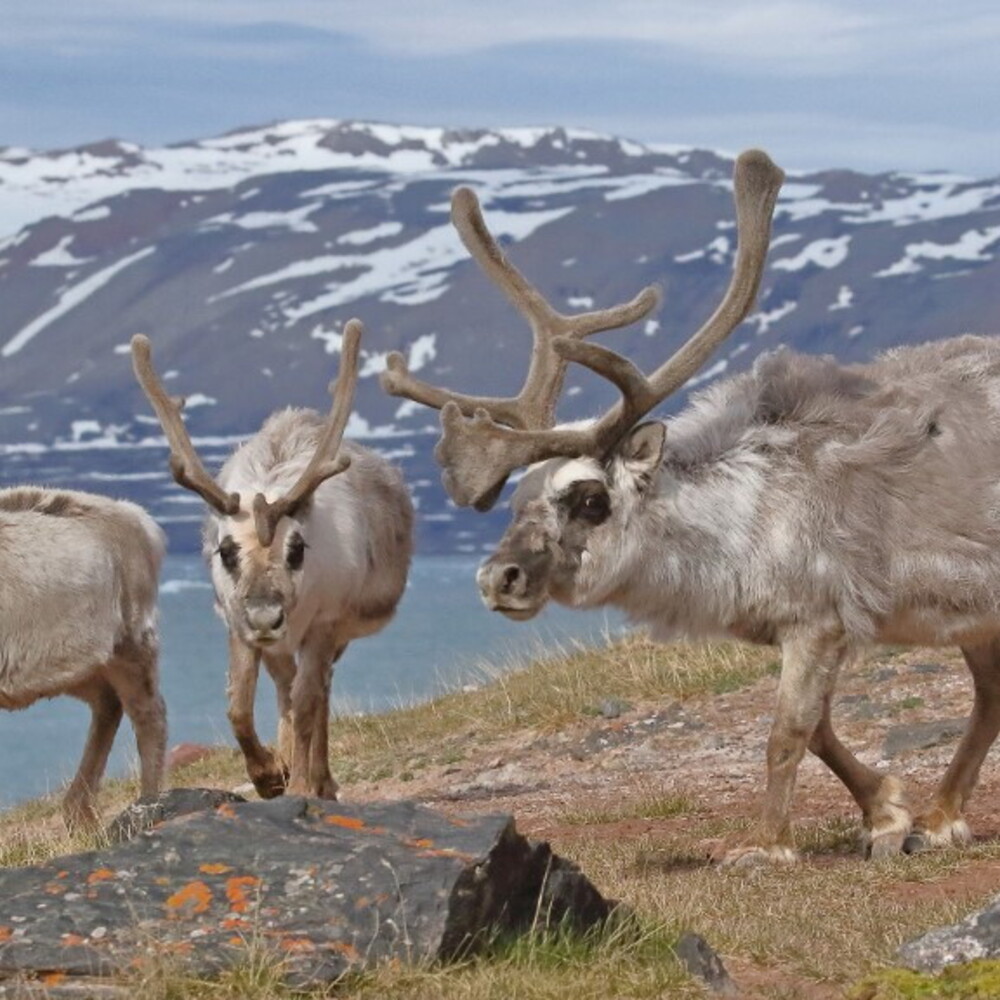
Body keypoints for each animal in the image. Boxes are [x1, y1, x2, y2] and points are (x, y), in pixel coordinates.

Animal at [0, 486, 166, 831]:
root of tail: (142, 521)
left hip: (131, 642)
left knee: (149, 713)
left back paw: (146, 805)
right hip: (81, 667)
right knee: (108, 704)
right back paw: (79, 813)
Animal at [132, 319, 413, 800]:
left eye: (297, 548)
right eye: (225, 550)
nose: (266, 616)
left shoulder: (323, 624)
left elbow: (306, 704)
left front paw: (298, 784)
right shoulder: (236, 622)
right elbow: (238, 706)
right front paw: (268, 775)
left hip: (333, 633)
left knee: (316, 691)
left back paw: (321, 779)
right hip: (279, 643)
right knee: (287, 687)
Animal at [381, 147, 1000, 865]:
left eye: (590, 498)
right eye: (519, 497)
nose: (496, 578)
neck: (739, 525)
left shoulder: (820, 619)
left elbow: (787, 733)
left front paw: (768, 846)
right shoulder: (799, 628)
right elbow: (819, 729)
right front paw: (886, 814)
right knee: (990, 695)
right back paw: (941, 817)